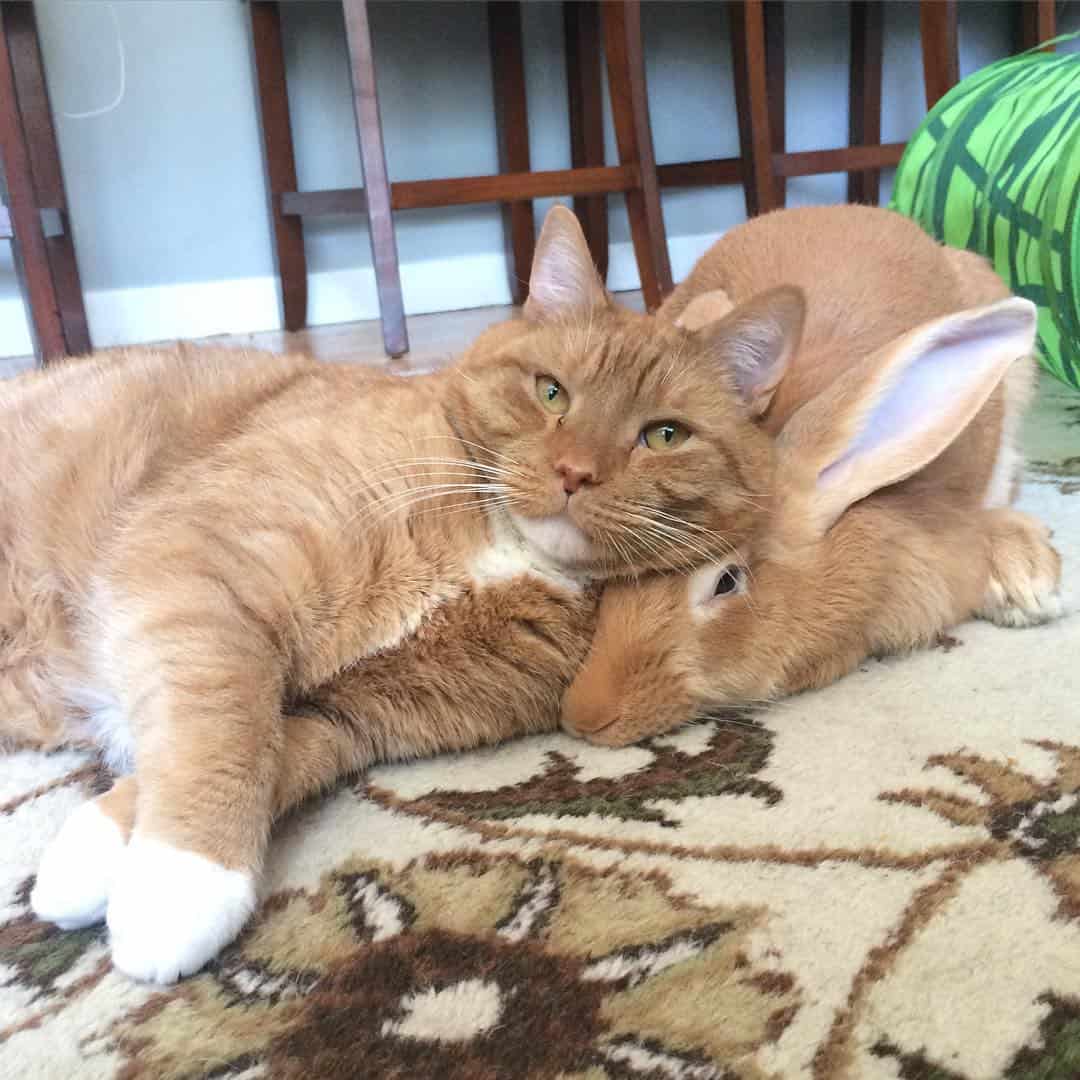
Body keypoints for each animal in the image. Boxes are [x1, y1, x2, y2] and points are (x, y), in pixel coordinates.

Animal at [6, 206, 803, 984]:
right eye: (551, 392)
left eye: (664, 436)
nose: (575, 473)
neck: (502, 543)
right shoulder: (201, 567)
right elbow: (226, 725)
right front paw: (180, 887)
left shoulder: (346, 718)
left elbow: (266, 754)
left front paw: (110, 859)